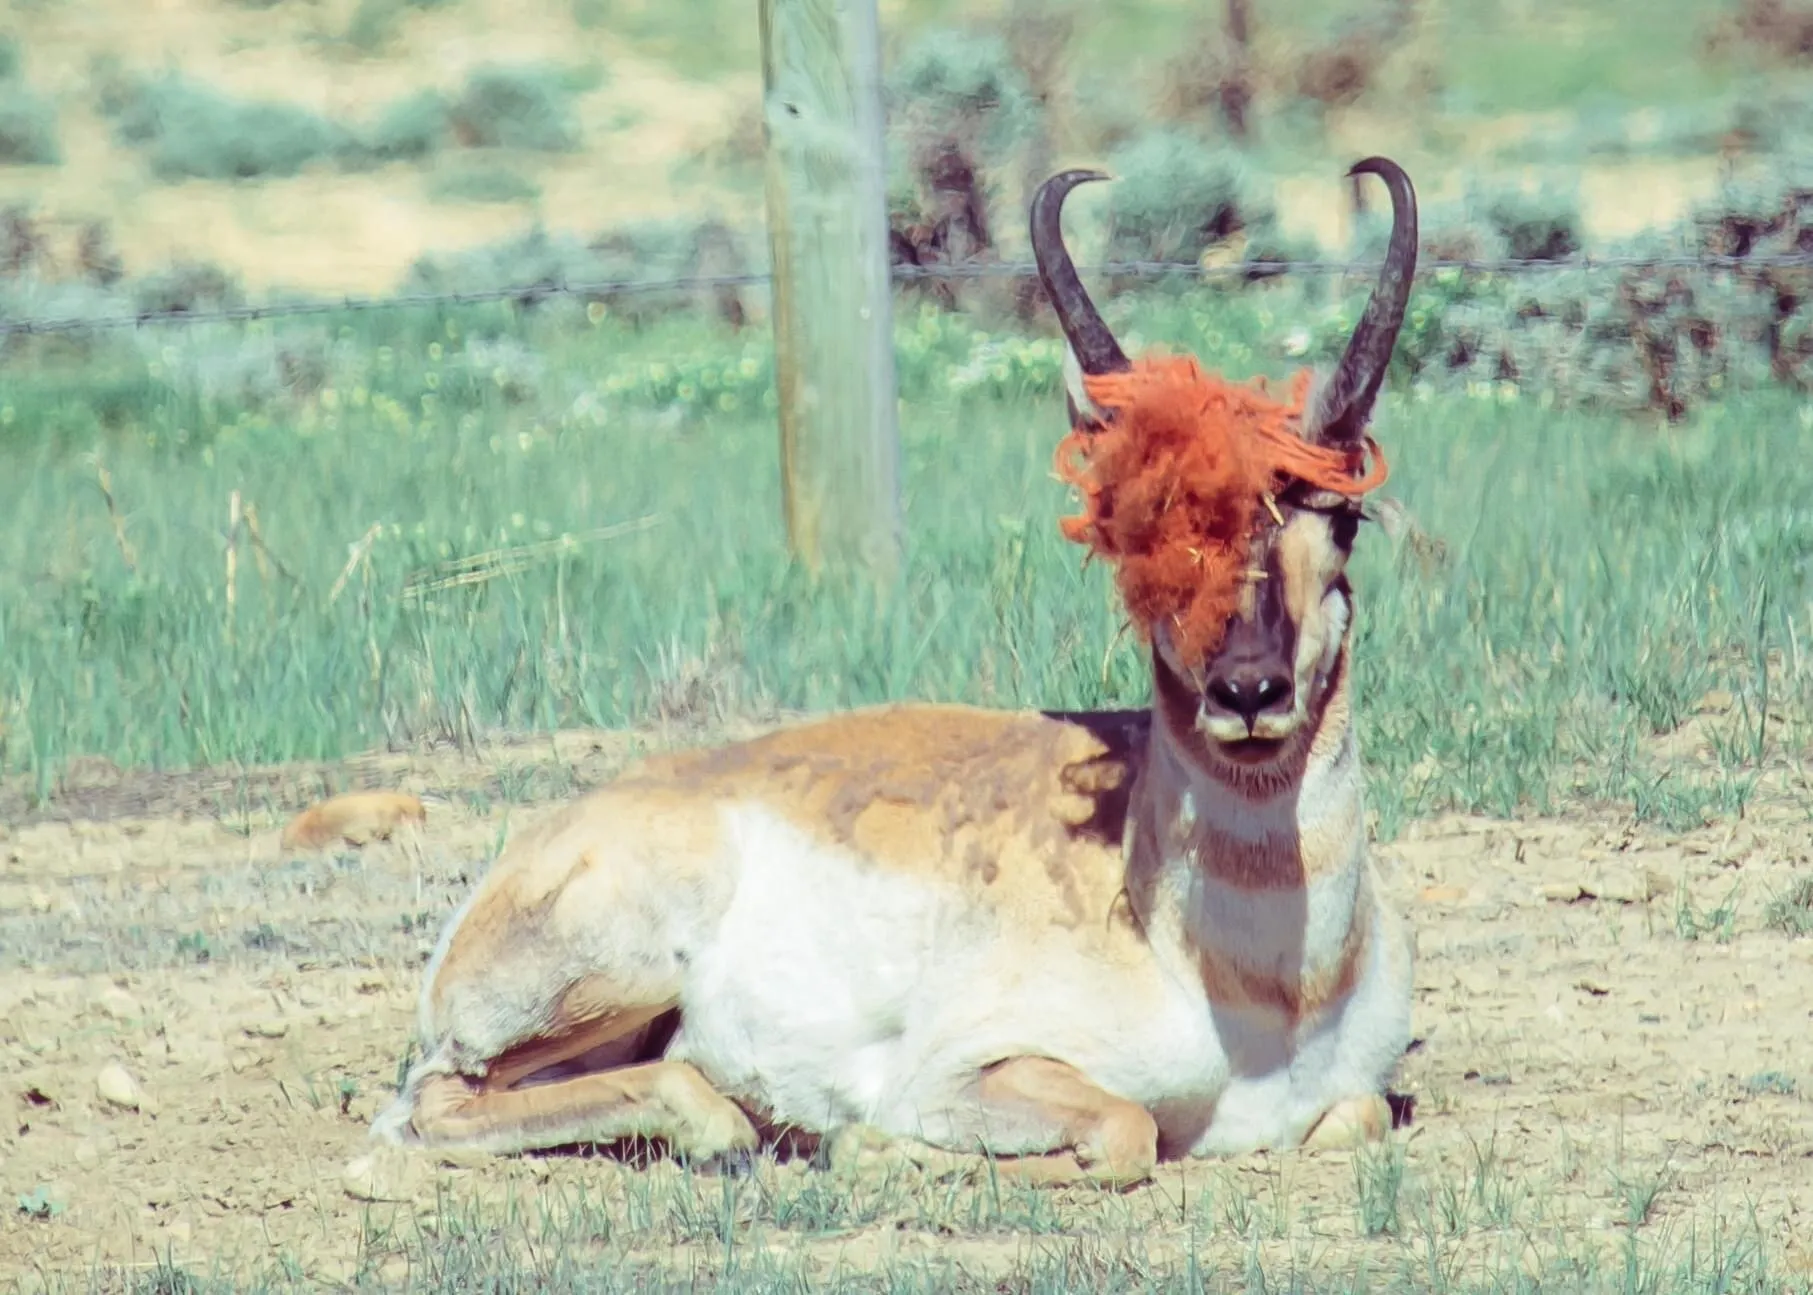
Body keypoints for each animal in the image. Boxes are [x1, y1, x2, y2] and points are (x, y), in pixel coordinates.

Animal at [366, 157, 1422, 1187]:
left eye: (1342, 516)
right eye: (1140, 528)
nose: (1247, 692)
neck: (1246, 988)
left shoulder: (1350, 1100)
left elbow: (1360, 1115)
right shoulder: (968, 1073)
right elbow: (1126, 1131)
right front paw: (861, 1143)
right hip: (610, 980)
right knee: (433, 1104)